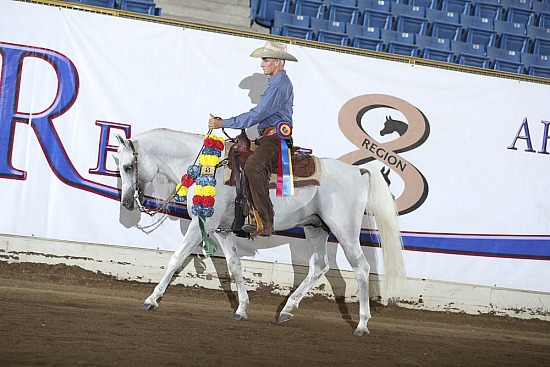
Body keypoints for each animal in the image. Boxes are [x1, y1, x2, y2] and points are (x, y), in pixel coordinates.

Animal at [117, 129, 410, 336]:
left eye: (128, 166)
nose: (127, 202)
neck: (205, 166)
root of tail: (357, 171)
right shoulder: (222, 231)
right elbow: (234, 265)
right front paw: (242, 309)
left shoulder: (202, 224)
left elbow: (176, 258)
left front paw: (151, 300)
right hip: (316, 228)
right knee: (319, 266)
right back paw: (287, 310)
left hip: (344, 229)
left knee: (361, 268)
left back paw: (362, 325)